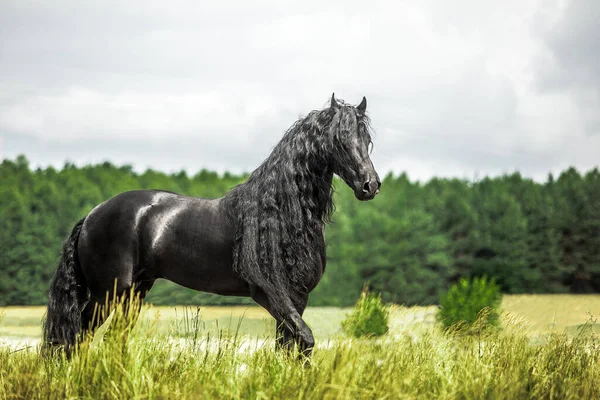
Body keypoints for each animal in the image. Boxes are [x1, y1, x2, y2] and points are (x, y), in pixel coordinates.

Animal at [42, 94, 380, 356]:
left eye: (367, 141)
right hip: (107, 293)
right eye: (340, 140)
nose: (371, 185)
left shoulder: (298, 297)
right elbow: (305, 341)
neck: (279, 214)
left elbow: (290, 348)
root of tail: (92, 215)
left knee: (110, 340)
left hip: (133, 294)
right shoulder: (269, 293)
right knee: (78, 337)